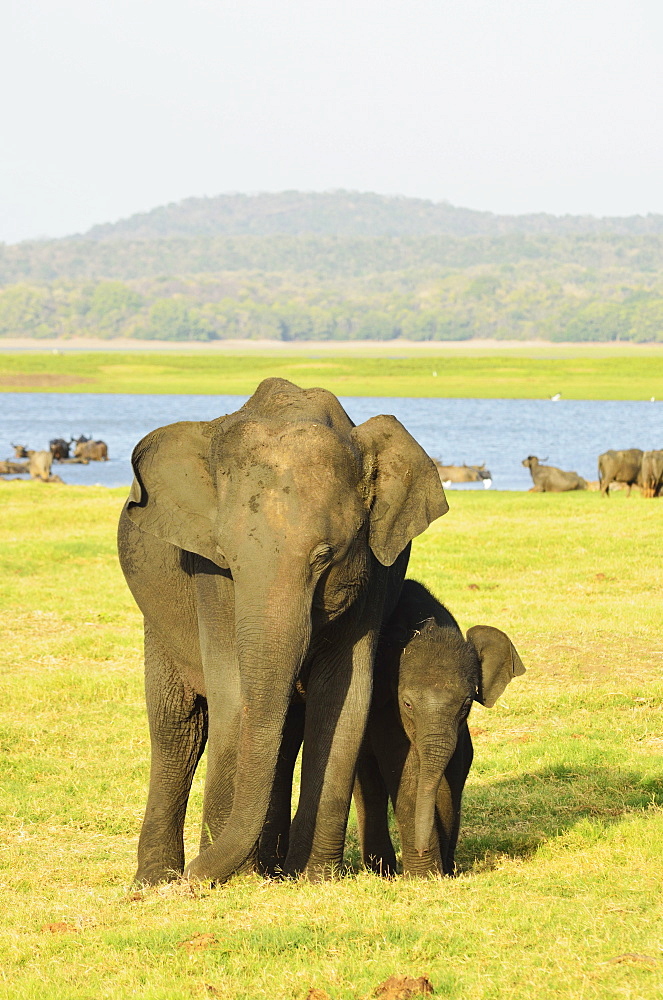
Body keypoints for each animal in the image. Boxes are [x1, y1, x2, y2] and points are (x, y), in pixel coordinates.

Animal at [116, 380, 448, 884]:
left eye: (325, 556)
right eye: (227, 557)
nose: (194, 876)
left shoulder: (375, 576)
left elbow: (344, 696)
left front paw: (313, 876)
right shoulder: (209, 578)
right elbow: (233, 693)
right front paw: (233, 875)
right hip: (157, 622)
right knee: (178, 727)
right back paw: (157, 878)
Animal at [356, 580, 528, 876]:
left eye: (467, 702)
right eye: (407, 704)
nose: (422, 848)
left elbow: (454, 770)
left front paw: (441, 871)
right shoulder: (384, 706)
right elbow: (402, 765)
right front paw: (425, 875)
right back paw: (382, 870)